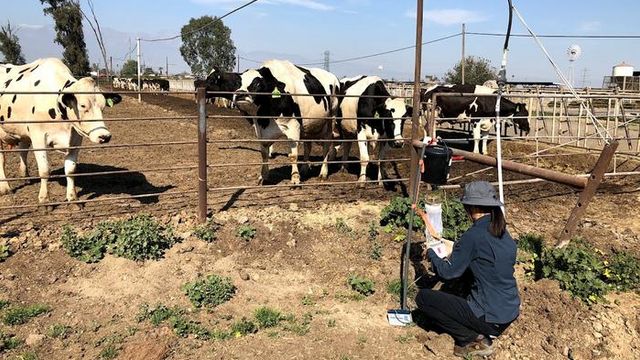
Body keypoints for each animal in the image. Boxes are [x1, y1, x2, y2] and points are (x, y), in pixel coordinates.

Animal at [0, 58, 121, 207]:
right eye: (82, 105)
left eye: (103, 106)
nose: (104, 136)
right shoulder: (39, 137)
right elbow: (44, 170)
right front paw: (44, 200)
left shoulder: (75, 139)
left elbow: (71, 170)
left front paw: (73, 199)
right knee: (2, 159)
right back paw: (5, 187)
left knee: (23, 150)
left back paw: (25, 176)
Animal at [205, 59, 340, 186]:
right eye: (239, 83)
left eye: (258, 83)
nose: (240, 95)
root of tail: (334, 77)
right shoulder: (260, 129)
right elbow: (264, 153)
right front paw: (263, 176)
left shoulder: (293, 126)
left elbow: (293, 155)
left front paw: (295, 179)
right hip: (309, 125)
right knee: (308, 145)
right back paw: (305, 169)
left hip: (330, 121)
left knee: (326, 145)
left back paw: (323, 173)